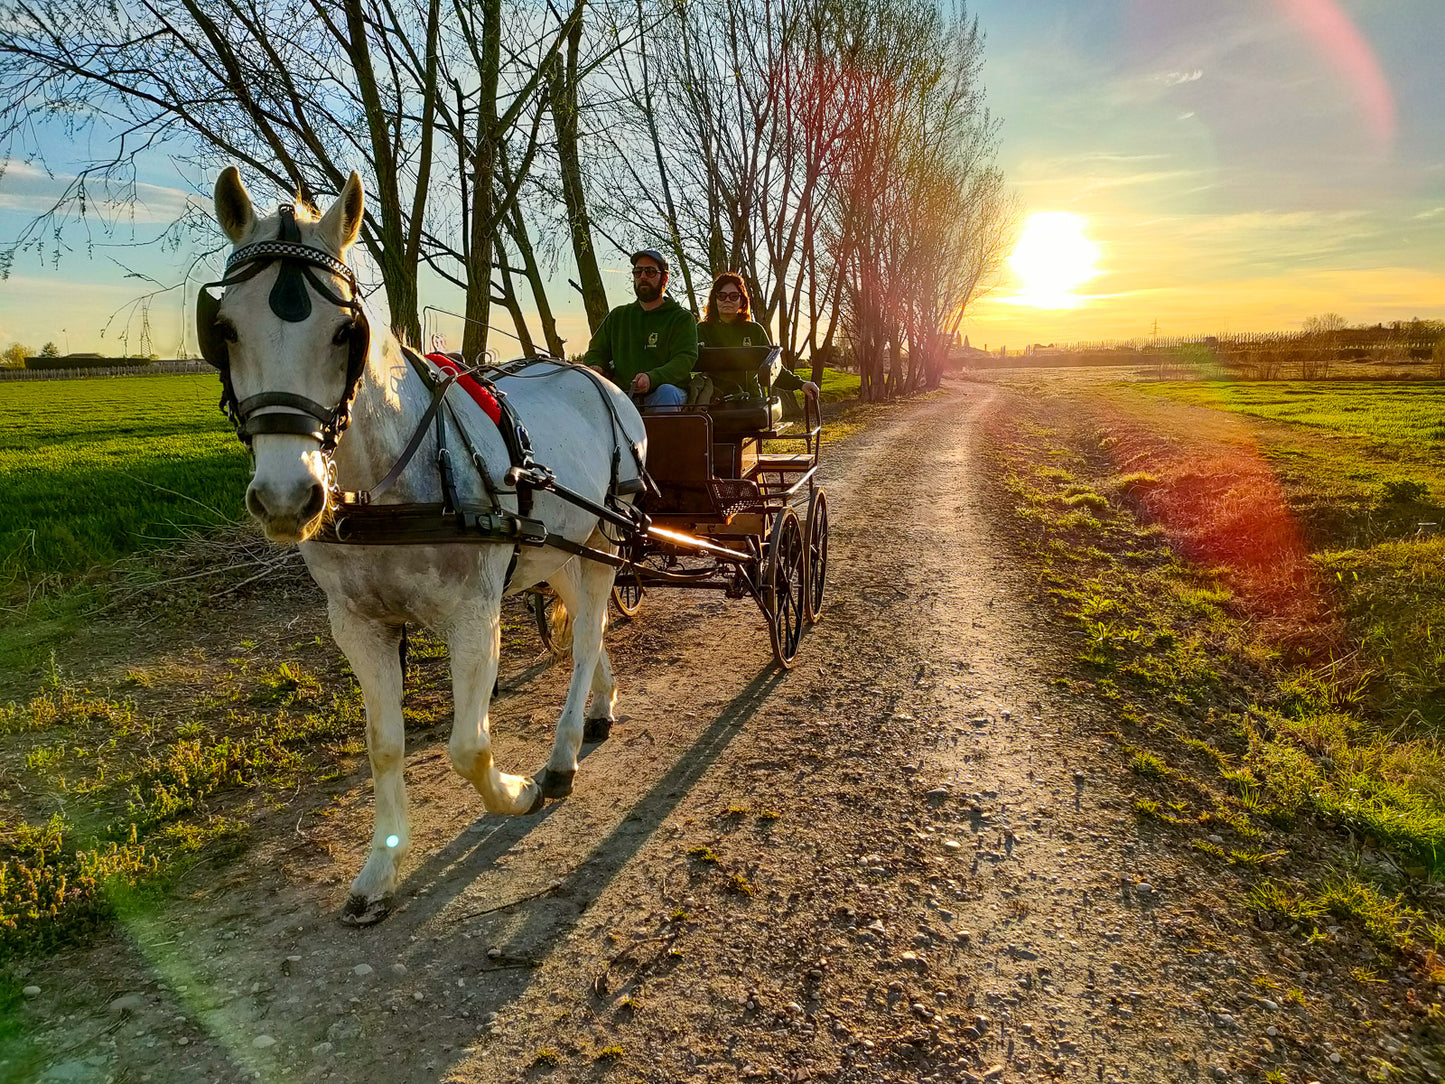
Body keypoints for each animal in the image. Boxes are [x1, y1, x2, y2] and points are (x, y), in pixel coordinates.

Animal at [205, 167, 650, 925]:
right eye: (226, 329)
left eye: (345, 332)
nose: (289, 499)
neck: (390, 483)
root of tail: (598, 378)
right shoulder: (358, 625)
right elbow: (385, 745)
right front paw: (380, 866)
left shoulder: (473, 615)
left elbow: (469, 747)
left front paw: (518, 791)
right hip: (560, 547)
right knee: (586, 634)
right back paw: (599, 705)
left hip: (604, 533)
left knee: (589, 634)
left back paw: (561, 757)